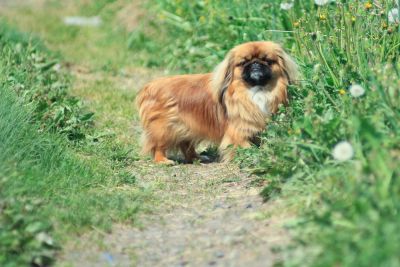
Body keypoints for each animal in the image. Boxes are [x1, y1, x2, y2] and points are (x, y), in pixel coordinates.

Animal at [136, 40, 298, 164]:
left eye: (268, 61)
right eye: (244, 62)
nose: (256, 64)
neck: (255, 90)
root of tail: (149, 86)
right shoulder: (237, 131)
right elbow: (244, 146)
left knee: (186, 145)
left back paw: (197, 158)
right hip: (164, 128)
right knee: (158, 146)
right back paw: (163, 161)